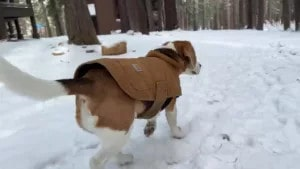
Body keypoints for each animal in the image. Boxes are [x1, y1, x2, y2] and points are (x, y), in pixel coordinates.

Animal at [0, 40, 202, 168]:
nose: (201, 66)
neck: (166, 57)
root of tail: (91, 82)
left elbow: (153, 115)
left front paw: (150, 128)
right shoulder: (171, 103)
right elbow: (172, 121)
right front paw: (178, 134)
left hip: (114, 133)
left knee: (111, 151)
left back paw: (124, 159)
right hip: (121, 128)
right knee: (96, 161)